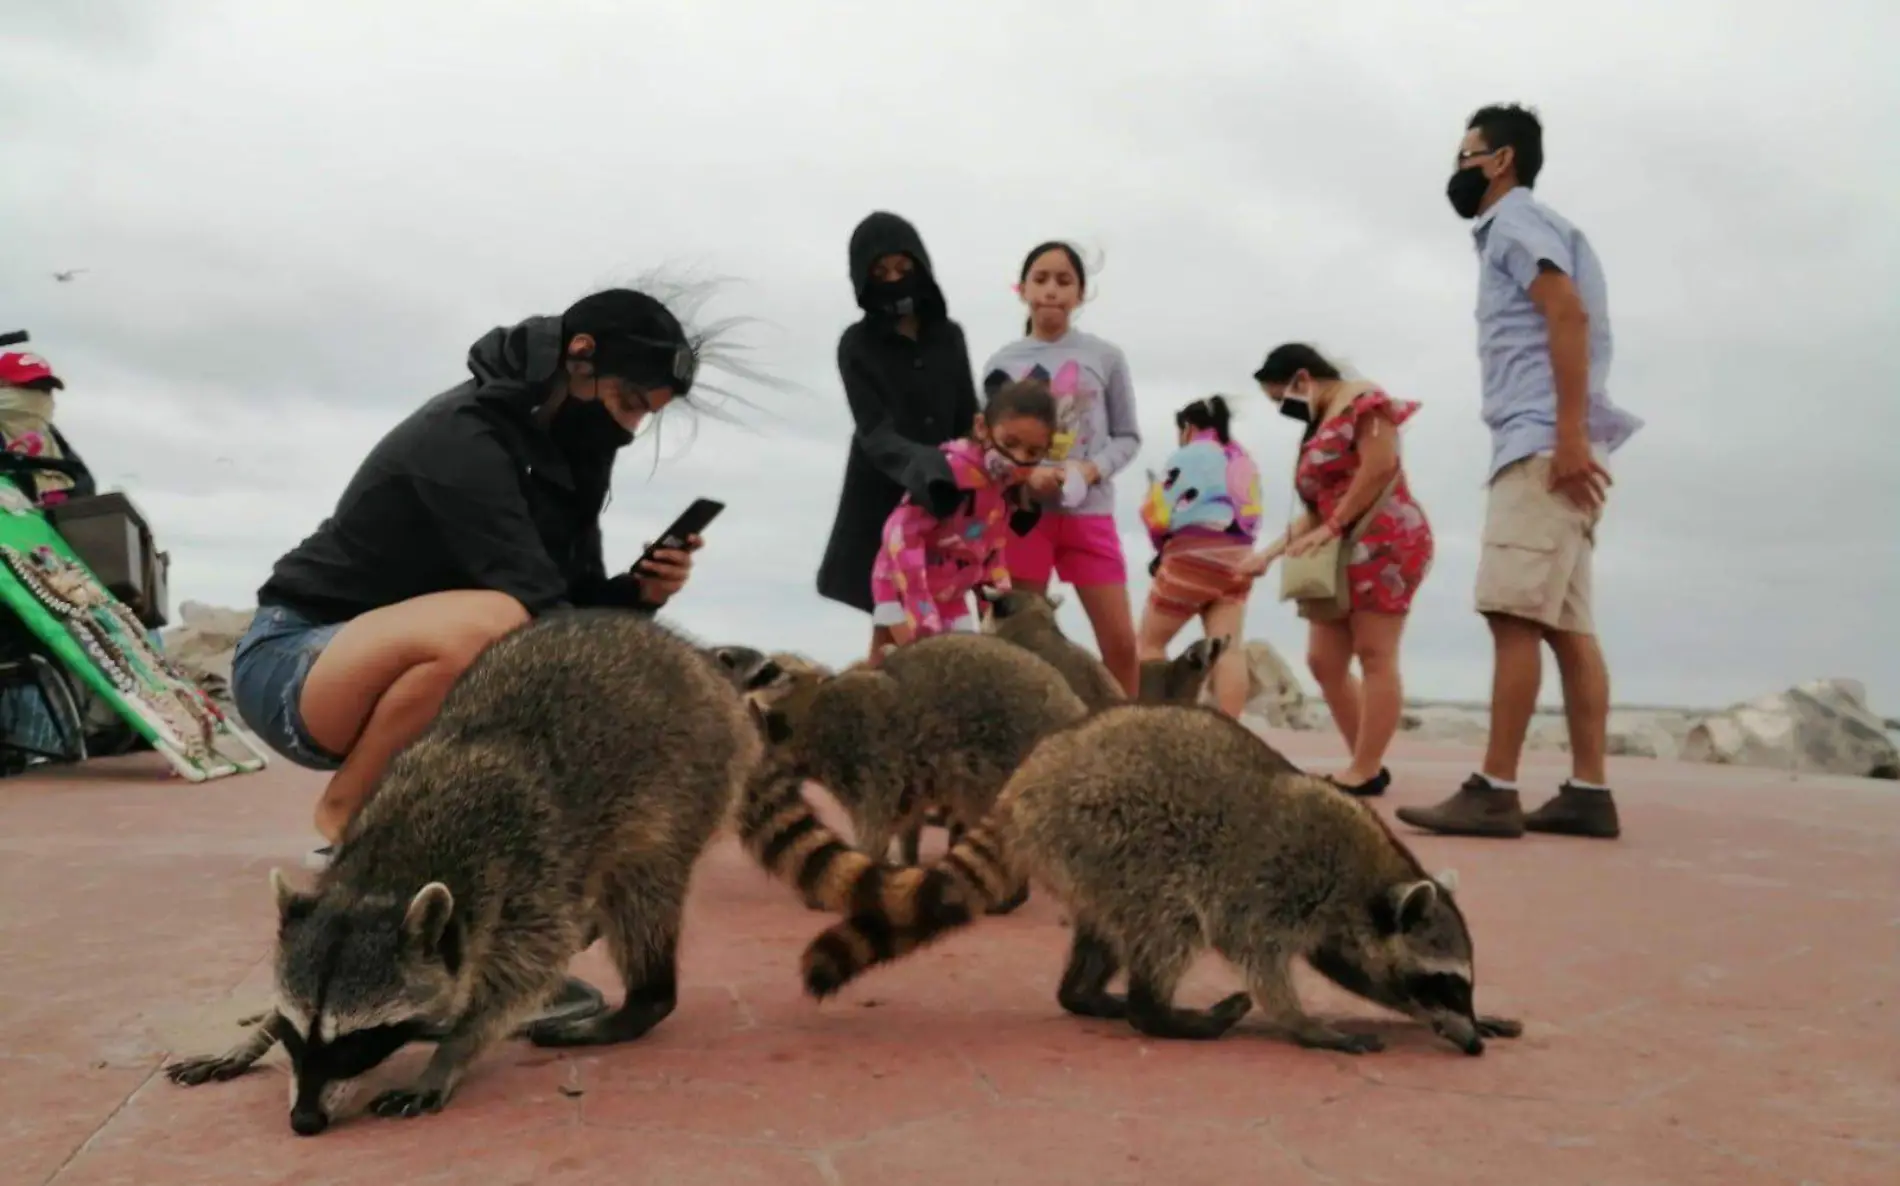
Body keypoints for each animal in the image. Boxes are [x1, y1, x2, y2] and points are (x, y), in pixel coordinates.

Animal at [157, 612, 763, 1140]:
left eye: (355, 1041)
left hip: (689, 782)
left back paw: (644, 999)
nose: (305, 1122)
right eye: (295, 1033)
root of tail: (696, 656)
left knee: (644, 892)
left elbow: (512, 987)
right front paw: (253, 1038)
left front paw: (448, 1056)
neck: (382, 877)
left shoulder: (527, 884)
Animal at [733, 634, 1086, 912]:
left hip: (1004, 764)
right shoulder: (903, 774)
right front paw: (906, 860)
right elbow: (906, 816)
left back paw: (1012, 893)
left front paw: (859, 866)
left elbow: (875, 820)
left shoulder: (863, 753)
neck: (805, 712)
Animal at [801, 703, 1527, 1056]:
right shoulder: (1279, 882)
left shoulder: (1339, 921)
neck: (1371, 881)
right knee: (1169, 919)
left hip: (1087, 856)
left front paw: (1461, 1019)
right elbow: (1258, 954)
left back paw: (1087, 993)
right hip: (1114, 829)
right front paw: (1302, 1023)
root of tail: (1025, 785)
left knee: (1110, 927)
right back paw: (1157, 1013)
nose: (1468, 1046)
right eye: (1445, 979)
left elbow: (1357, 970)